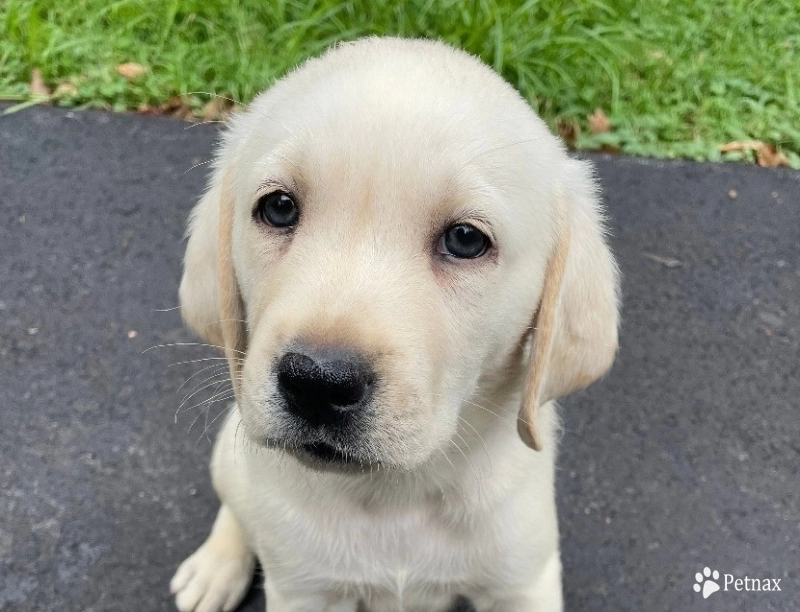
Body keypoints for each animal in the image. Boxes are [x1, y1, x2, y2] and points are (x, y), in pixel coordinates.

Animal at [170, 38, 620, 612]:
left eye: (466, 240)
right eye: (279, 207)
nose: (318, 382)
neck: (396, 497)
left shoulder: (524, 579)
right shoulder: (305, 590)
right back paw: (216, 565)